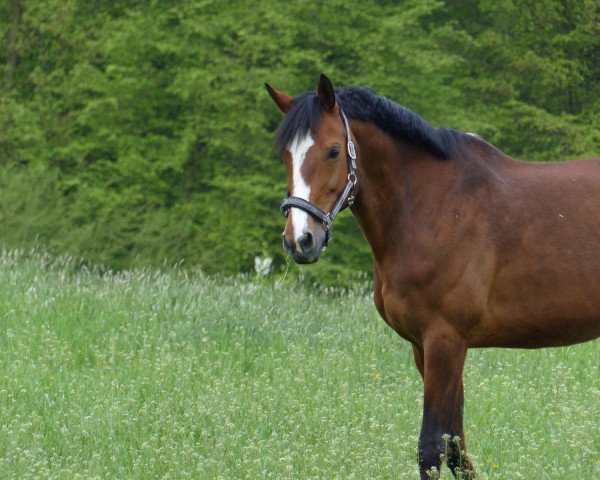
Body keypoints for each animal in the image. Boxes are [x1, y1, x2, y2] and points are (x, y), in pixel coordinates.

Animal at [266, 73, 600, 478]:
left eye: (332, 152)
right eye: (285, 155)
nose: (300, 241)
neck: (432, 206)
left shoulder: (446, 341)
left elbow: (432, 446)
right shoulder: (423, 346)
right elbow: (456, 447)